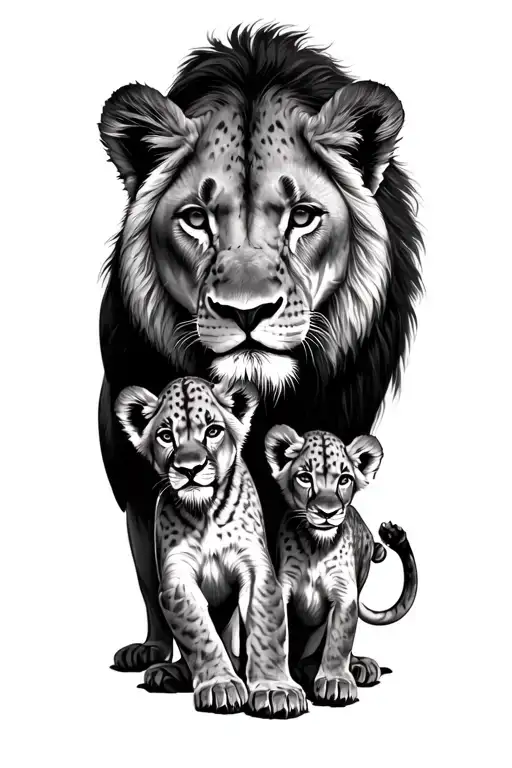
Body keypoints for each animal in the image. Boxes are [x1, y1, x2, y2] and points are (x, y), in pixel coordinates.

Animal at [98, 24, 422, 671]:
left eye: (302, 216)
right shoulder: (135, 481)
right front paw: (182, 658)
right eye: (196, 218)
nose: (246, 312)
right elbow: (158, 573)